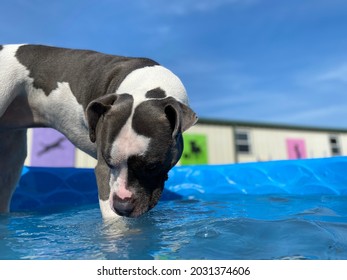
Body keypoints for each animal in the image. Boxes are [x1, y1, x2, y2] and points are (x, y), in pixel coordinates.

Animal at [0, 43, 198, 219]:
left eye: (151, 166)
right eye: (109, 162)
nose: (121, 207)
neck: (146, 86)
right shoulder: (104, 172)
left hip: (12, 156)